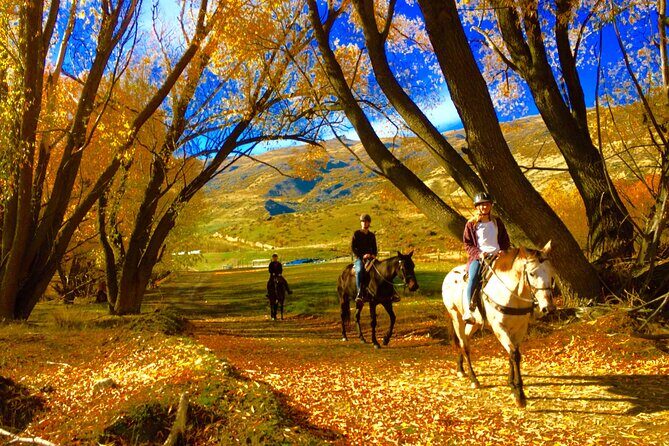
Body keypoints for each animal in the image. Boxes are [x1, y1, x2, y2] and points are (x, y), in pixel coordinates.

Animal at [441, 241, 556, 408]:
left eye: (550, 273)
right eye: (532, 274)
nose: (549, 308)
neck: (512, 295)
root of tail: (450, 274)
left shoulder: (520, 329)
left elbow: (513, 354)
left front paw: (512, 385)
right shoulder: (500, 328)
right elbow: (514, 355)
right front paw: (519, 395)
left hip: (474, 323)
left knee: (465, 340)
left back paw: (460, 369)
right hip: (456, 317)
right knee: (464, 345)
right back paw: (473, 379)